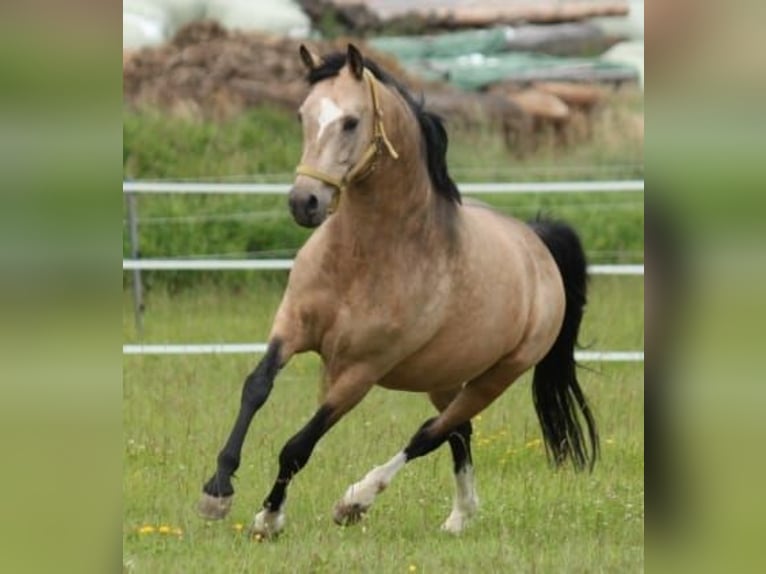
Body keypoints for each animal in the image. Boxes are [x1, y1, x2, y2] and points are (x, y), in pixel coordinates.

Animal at [198, 44, 598, 538]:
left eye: (351, 122)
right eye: (302, 115)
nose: (304, 202)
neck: (363, 259)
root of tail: (536, 244)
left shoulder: (361, 372)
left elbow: (299, 444)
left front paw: (269, 517)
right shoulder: (290, 328)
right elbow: (256, 387)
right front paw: (217, 491)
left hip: (498, 376)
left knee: (431, 432)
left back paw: (355, 501)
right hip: (446, 376)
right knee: (458, 431)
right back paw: (459, 517)